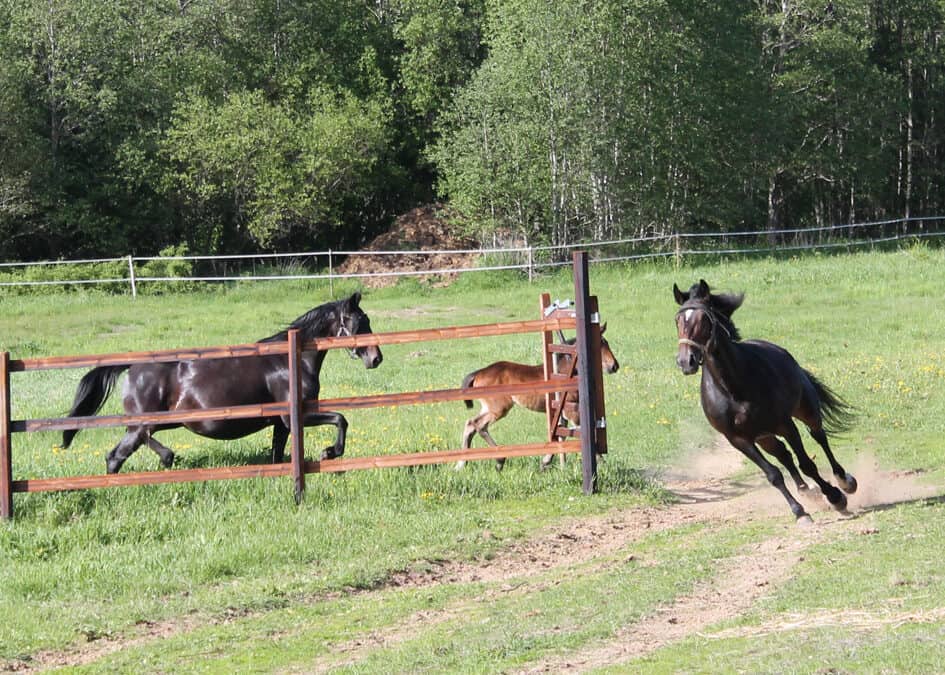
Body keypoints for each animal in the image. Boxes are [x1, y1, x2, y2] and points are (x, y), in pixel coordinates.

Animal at [61, 292, 384, 476]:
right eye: (358, 323)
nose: (376, 358)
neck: (288, 361)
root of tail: (133, 367)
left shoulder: (280, 424)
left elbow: (277, 454)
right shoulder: (296, 416)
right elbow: (341, 419)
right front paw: (329, 452)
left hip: (158, 422)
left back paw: (167, 457)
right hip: (143, 424)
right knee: (115, 456)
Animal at [672, 278, 856, 524]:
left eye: (703, 319)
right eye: (677, 320)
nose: (686, 361)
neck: (732, 388)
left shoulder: (785, 425)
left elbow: (807, 464)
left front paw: (836, 498)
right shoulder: (739, 440)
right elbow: (774, 474)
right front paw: (800, 513)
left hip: (805, 410)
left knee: (819, 437)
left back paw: (844, 482)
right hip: (764, 437)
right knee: (784, 455)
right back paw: (806, 491)